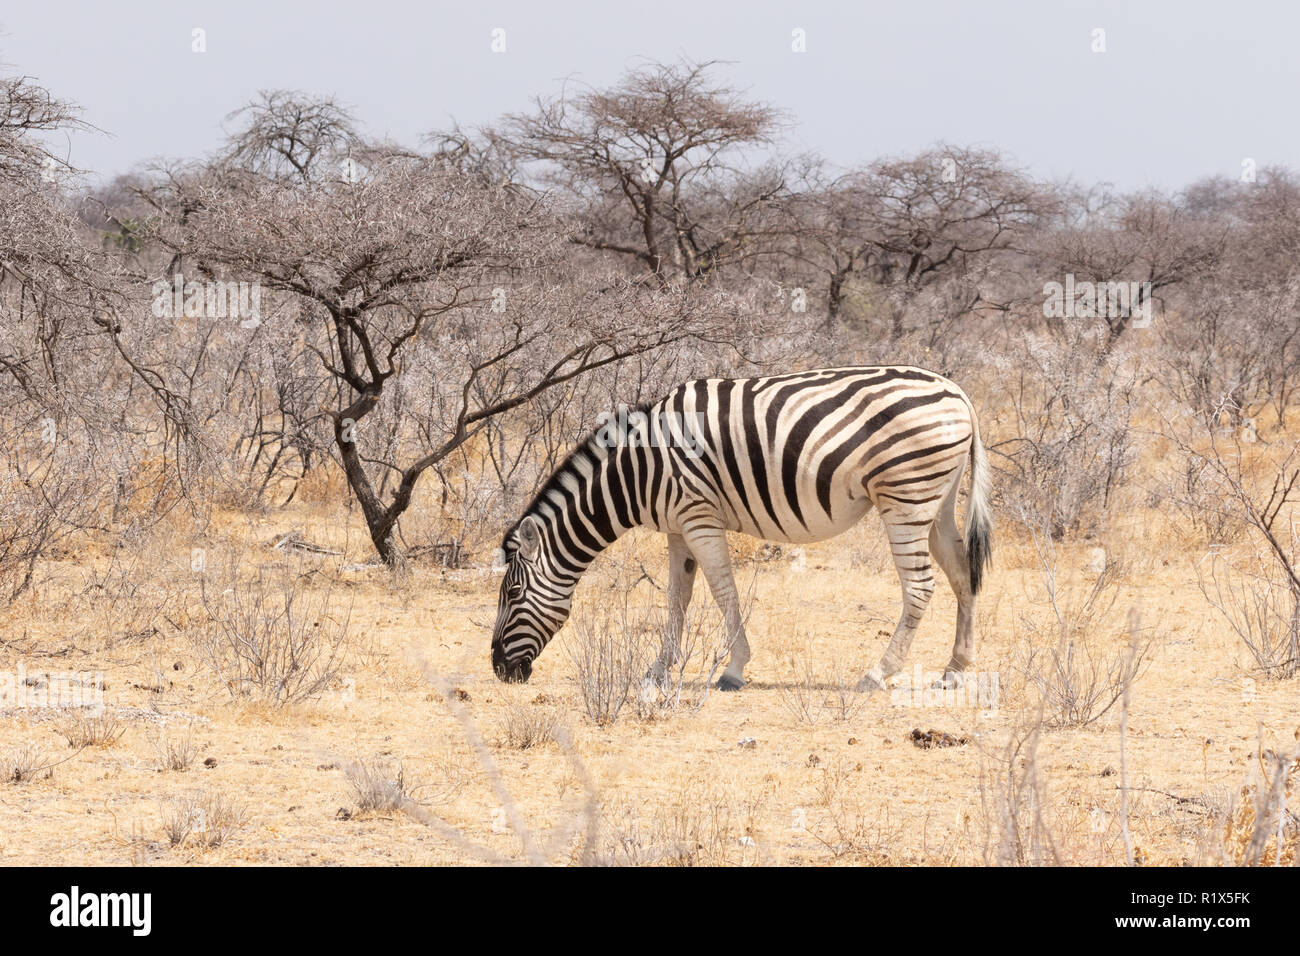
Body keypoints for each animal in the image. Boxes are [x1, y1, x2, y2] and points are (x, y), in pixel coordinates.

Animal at [491, 361, 987, 691]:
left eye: (512, 594)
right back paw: (955, 669)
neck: (640, 469)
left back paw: (878, 673)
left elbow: (722, 589)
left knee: (920, 586)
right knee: (961, 572)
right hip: (936, 501)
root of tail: (958, 392)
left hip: (905, 497)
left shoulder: (699, 518)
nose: (498, 669)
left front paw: (733, 669)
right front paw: (659, 668)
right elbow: (678, 596)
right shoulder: (677, 527)